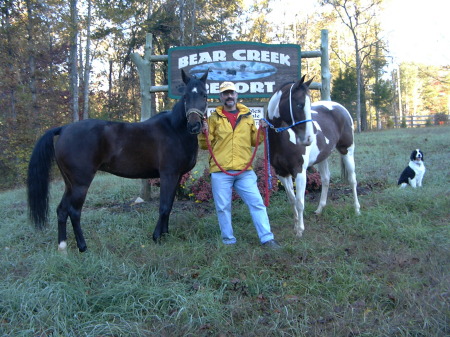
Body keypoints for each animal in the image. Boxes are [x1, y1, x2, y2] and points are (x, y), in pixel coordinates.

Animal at [28, 69, 209, 251]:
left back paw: (63, 246)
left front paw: (165, 234)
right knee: (74, 211)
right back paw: (82, 246)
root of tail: (64, 129)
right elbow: (164, 207)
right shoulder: (168, 175)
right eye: (185, 96)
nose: (194, 125)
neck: (174, 129)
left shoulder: (177, 176)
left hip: (69, 183)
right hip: (80, 184)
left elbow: (169, 205)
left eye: (204, 95)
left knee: (62, 210)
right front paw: (157, 236)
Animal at [266, 75, 360, 236]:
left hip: (347, 150)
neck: (282, 139)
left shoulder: (299, 172)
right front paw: (295, 225)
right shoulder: (281, 173)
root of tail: (340, 107)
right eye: (299, 104)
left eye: (308, 105)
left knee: (352, 180)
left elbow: (299, 202)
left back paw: (357, 210)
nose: (308, 139)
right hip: (322, 157)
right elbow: (292, 199)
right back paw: (319, 209)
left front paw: (300, 231)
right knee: (326, 179)